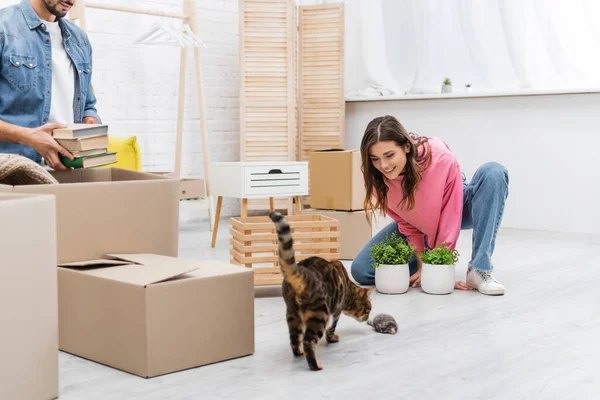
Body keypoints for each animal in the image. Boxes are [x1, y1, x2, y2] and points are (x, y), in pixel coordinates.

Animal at [268, 211, 372, 370]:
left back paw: (299, 353)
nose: (367, 319)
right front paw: (333, 338)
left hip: (292, 315)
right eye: (368, 310)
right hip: (319, 314)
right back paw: (315, 365)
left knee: (294, 339)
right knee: (308, 341)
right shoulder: (335, 312)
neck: (349, 289)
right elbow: (331, 329)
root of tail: (301, 274)